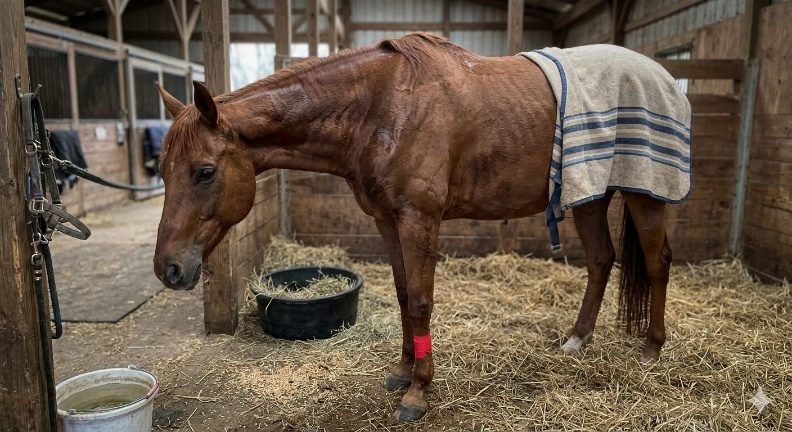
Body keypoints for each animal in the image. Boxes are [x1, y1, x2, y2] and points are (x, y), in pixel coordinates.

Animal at [153, 33, 673, 422]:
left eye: (204, 172)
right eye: (162, 170)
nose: (168, 269)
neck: (383, 105)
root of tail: (663, 76)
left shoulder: (419, 220)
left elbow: (421, 302)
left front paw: (418, 393)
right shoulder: (388, 220)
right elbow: (405, 295)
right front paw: (403, 372)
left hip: (645, 194)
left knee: (656, 262)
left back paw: (652, 350)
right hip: (590, 194)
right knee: (601, 261)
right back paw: (577, 340)